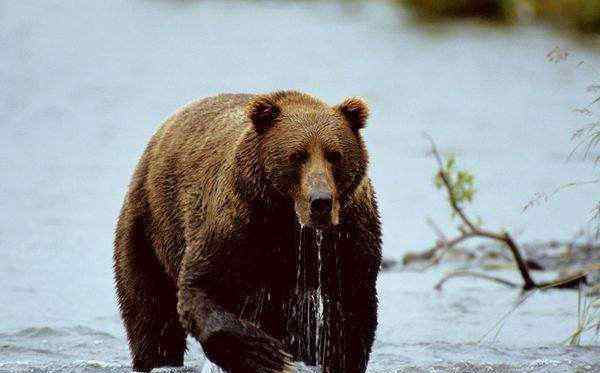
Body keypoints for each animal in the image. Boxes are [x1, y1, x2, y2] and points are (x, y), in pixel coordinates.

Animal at [115, 91, 382, 372]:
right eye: (297, 155)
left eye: (334, 155)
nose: (320, 202)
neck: (288, 221)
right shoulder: (236, 224)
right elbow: (200, 287)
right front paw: (265, 354)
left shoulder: (347, 235)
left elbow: (350, 310)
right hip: (148, 223)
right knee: (149, 311)